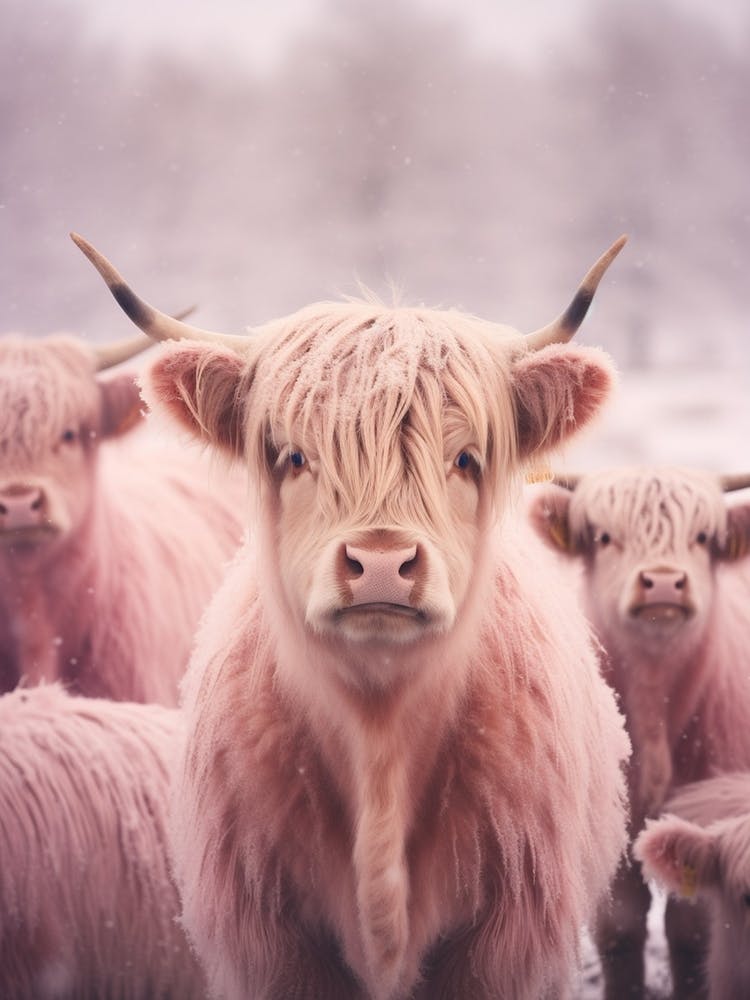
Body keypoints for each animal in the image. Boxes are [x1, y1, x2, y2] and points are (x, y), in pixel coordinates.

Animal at [73, 231, 631, 1000]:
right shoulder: (270, 942)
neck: (378, 738)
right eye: (294, 456)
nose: (382, 563)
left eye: (466, 458)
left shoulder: (505, 941)